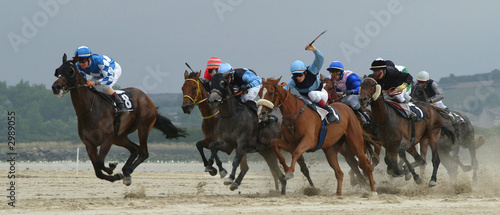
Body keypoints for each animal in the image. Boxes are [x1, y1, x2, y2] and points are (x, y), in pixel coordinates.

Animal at [51, 53, 187, 185]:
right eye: (58, 71)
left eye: (70, 70)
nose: (56, 87)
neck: (90, 109)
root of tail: (148, 99)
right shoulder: (89, 145)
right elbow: (98, 172)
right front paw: (114, 175)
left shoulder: (107, 140)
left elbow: (100, 163)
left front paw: (112, 167)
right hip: (120, 137)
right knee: (135, 149)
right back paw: (125, 172)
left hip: (142, 127)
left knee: (143, 152)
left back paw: (128, 170)